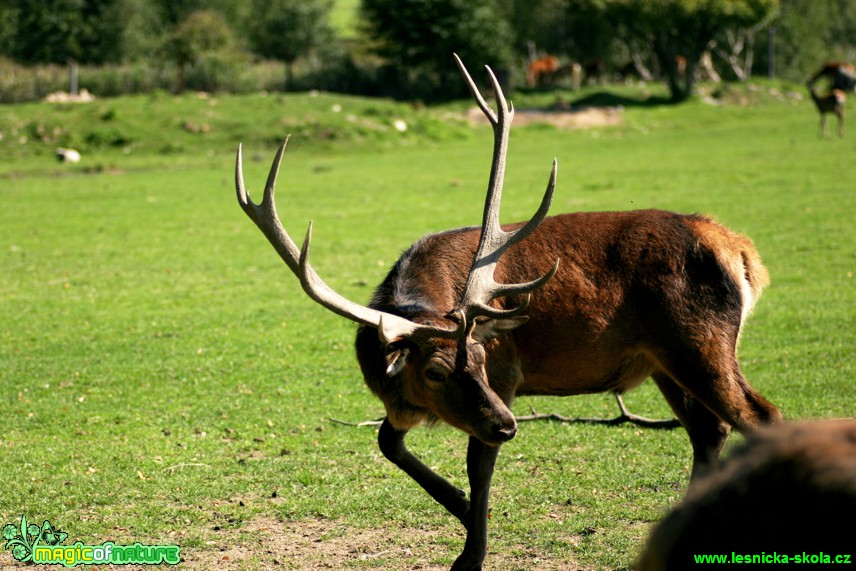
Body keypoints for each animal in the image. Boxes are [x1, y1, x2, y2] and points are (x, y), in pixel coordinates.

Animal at [234, 54, 784, 571]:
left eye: (482, 356)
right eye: (433, 372)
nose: (508, 424)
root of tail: (739, 250)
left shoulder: (506, 378)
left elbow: (478, 468)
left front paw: (469, 553)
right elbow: (388, 442)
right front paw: (458, 507)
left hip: (699, 341)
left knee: (760, 415)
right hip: (662, 360)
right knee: (709, 429)